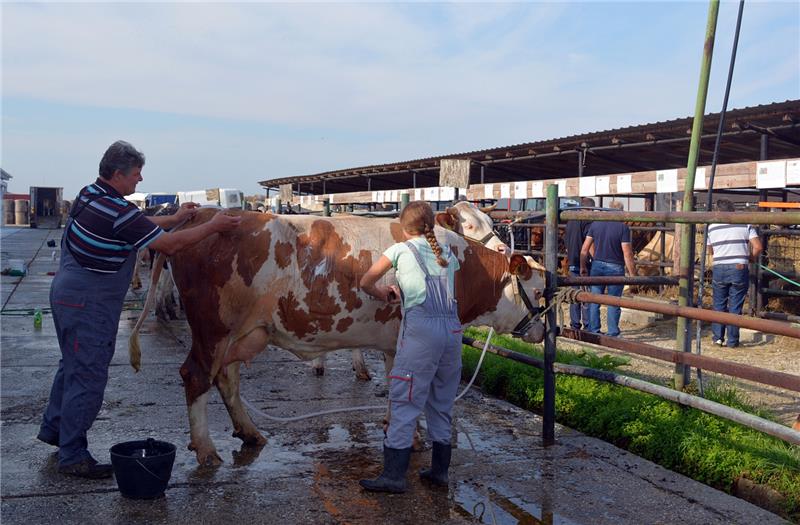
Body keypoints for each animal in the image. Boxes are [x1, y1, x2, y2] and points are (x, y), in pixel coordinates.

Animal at [130, 208, 544, 462]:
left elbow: (398, 384)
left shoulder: (395, 340)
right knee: (197, 375)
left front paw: (397, 430)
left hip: (241, 334)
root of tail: (203, 214)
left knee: (226, 378)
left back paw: (250, 433)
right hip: (213, 327)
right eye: (540, 291)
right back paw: (205, 449)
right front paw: (409, 439)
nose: (542, 330)